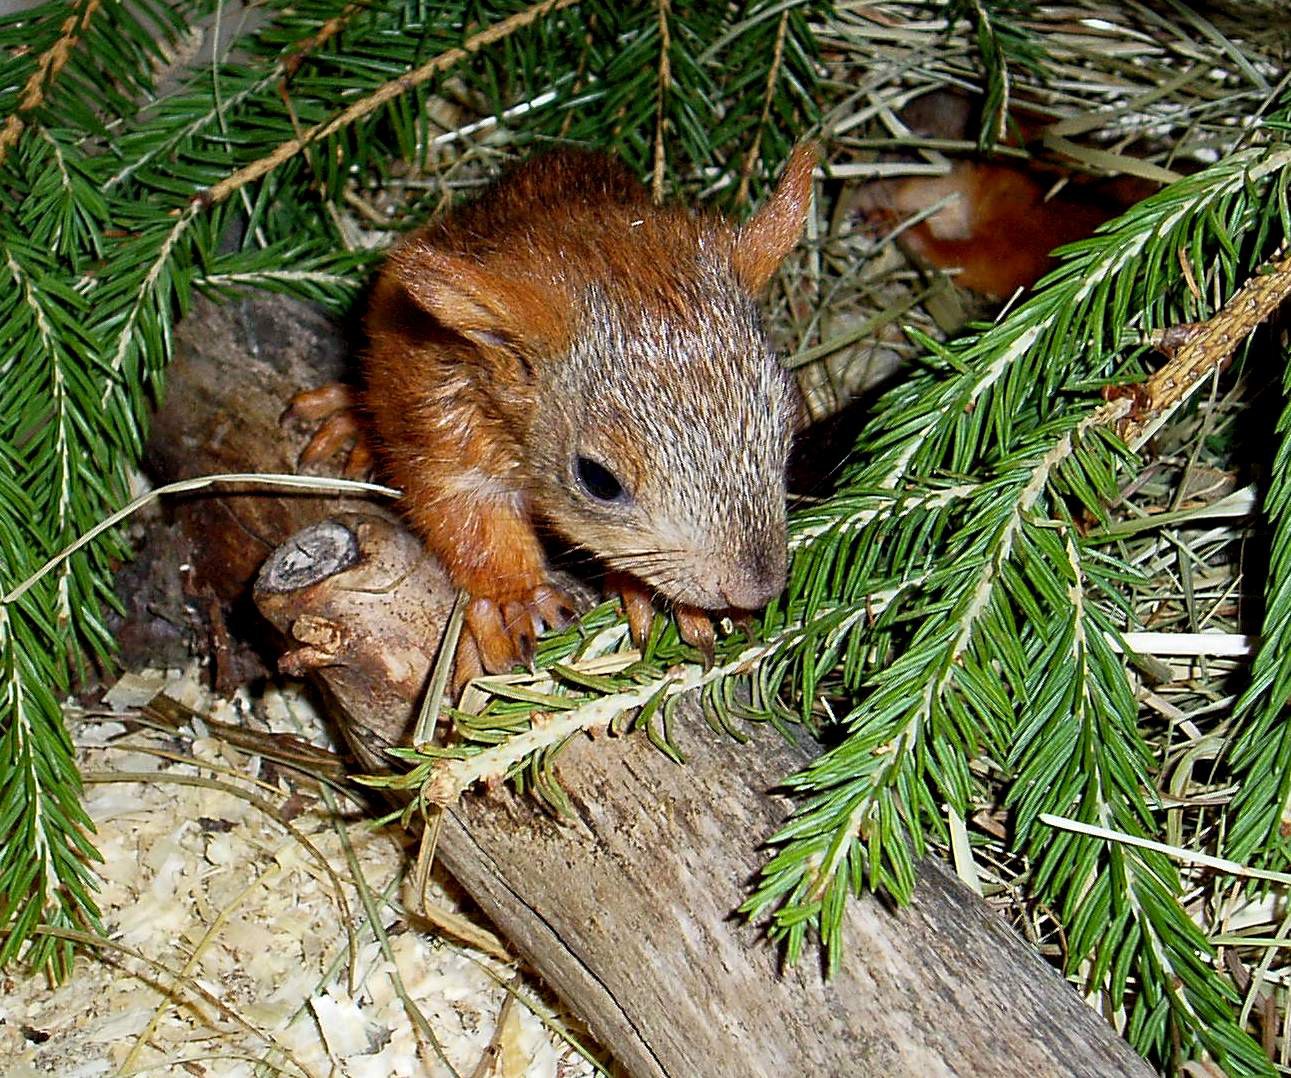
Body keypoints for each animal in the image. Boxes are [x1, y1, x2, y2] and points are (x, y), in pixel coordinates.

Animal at [300, 144, 810, 681]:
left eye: (790, 428)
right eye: (598, 480)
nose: (756, 590)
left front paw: (658, 597)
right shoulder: (441, 418)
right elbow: (462, 514)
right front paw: (519, 598)